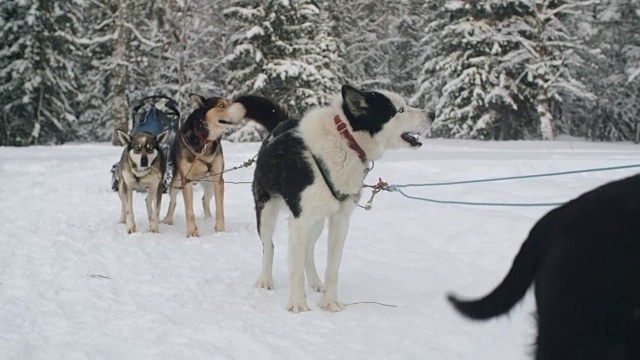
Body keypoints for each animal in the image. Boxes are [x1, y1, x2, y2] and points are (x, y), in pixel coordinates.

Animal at [162, 94, 245, 238]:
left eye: (230, 102)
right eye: (221, 105)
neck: (204, 140)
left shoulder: (218, 180)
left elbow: (220, 209)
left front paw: (220, 231)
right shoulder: (186, 181)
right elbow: (189, 211)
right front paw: (192, 232)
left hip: (210, 185)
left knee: (205, 200)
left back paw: (208, 219)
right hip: (176, 183)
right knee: (173, 201)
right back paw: (168, 220)